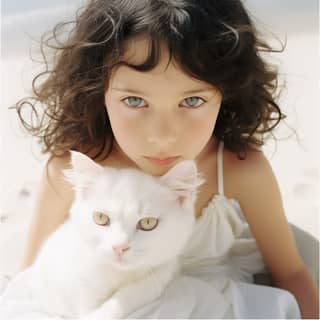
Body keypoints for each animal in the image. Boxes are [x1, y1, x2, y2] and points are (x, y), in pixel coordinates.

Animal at [0, 151, 204, 318]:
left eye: (148, 223)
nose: (119, 247)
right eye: (100, 218)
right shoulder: (78, 284)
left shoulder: (161, 274)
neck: (118, 274)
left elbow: (128, 297)